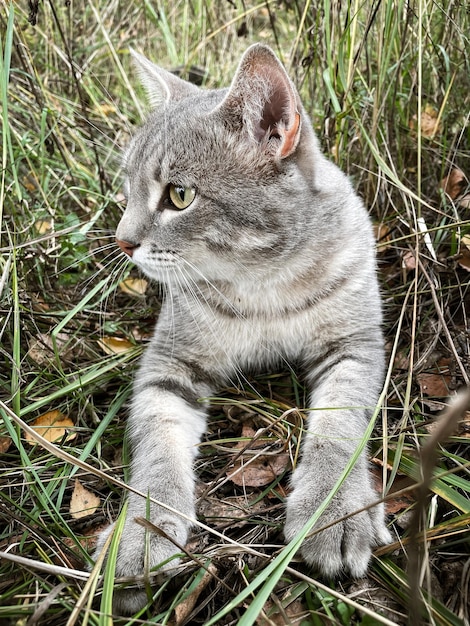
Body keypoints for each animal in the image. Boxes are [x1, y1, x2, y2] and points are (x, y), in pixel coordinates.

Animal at [94, 45, 390, 616]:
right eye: (126, 188)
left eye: (179, 195)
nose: (122, 241)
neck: (263, 284)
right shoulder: (168, 366)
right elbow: (157, 446)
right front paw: (141, 533)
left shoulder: (354, 347)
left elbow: (340, 427)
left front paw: (333, 508)